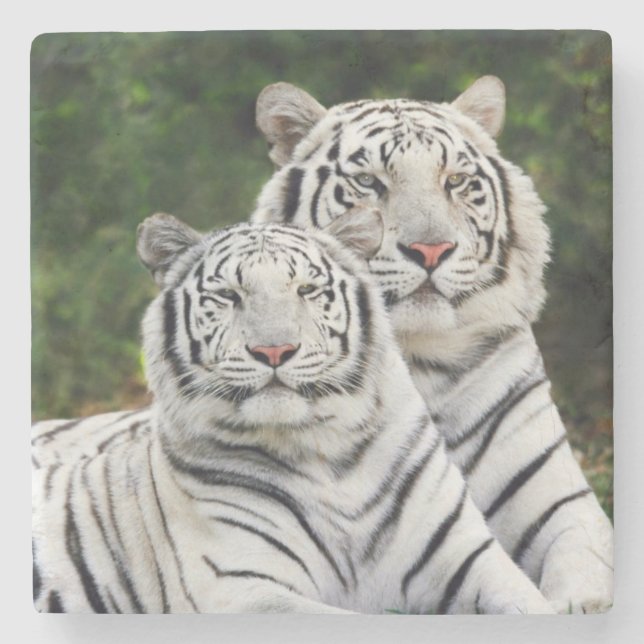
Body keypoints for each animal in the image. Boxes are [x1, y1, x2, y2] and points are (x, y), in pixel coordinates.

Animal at [32, 211, 554, 614]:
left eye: (306, 290)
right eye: (229, 296)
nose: (274, 351)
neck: (328, 454)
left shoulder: (472, 560)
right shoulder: (242, 587)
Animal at [250, 76, 613, 613]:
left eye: (455, 181)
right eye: (369, 183)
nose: (431, 250)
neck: (421, 361)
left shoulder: (562, 501)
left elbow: (584, 569)